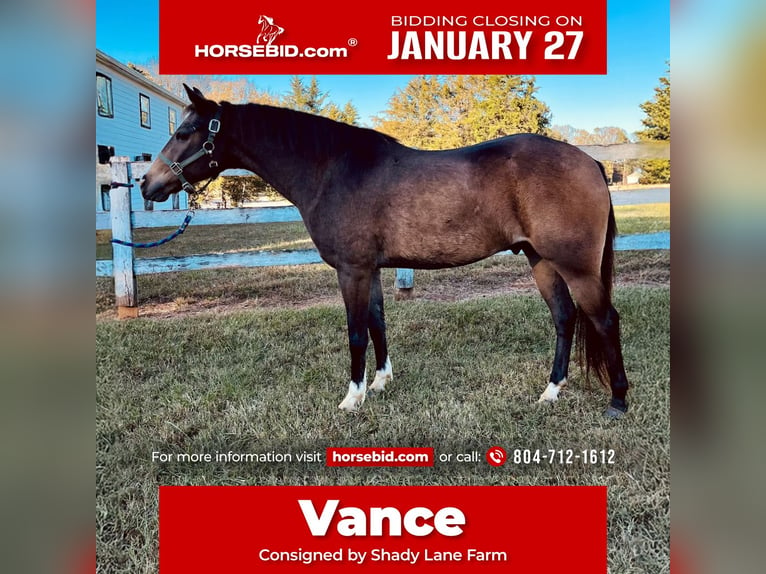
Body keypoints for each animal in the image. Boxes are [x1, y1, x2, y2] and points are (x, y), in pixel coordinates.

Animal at [141, 84, 632, 418]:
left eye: (185, 131)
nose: (147, 184)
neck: (331, 169)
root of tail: (589, 161)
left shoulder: (352, 270)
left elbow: (356, 332)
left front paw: (351, 398)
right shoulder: (371, 269)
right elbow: (377, 324)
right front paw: (379, 383)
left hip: (576, 266)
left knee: (605, 319)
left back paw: (618, 400)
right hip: (540, 260)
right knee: (565, 318)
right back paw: (551, 391)